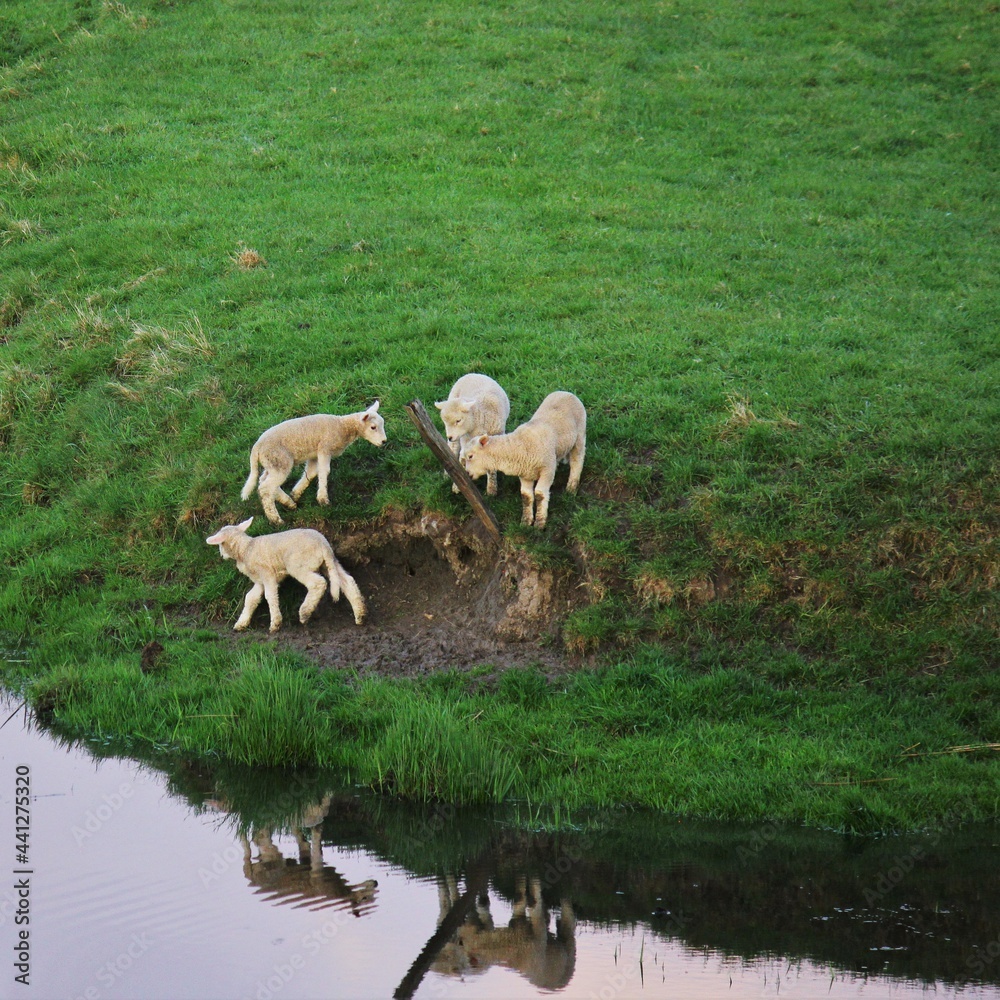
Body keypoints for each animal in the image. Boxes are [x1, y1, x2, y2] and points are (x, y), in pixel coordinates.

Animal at [205, 517, 366, 632]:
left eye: (220, 544)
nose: (221, 556)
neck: (245, 549)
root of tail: (323, 545)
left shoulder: (267, 573)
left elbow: (270, 596)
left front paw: (275, 624)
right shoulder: (259, 580)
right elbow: (251, 598)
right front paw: (241, 623)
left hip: (298, 565)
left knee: (318, 583)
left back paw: (305, 612)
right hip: (329, 563)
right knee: (348, 581)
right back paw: (360, 614)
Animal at [241, 402, 386, 524]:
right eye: (373, 427)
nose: (384, 441)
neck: (343, 426)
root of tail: (256, 447)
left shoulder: (314, 454)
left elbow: (311, 473)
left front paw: (296, 493)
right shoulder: (324, 448)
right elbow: (324, 471)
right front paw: (323, 499)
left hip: (272, 463)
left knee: (263, 481)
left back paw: (289, 502)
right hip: (279, 461)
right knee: (265, 488)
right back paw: (276, 519)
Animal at [461, 391, 586, 529]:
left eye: (470, 456)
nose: (467, 473)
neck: (519, 445)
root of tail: (565, 392)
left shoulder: (547, 468)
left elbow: (540, 494)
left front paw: (540, 522)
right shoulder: (525, 474)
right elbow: (526, 496)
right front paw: (526, 521)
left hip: (580, 435)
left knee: (577, 460)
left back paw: (572, 486)